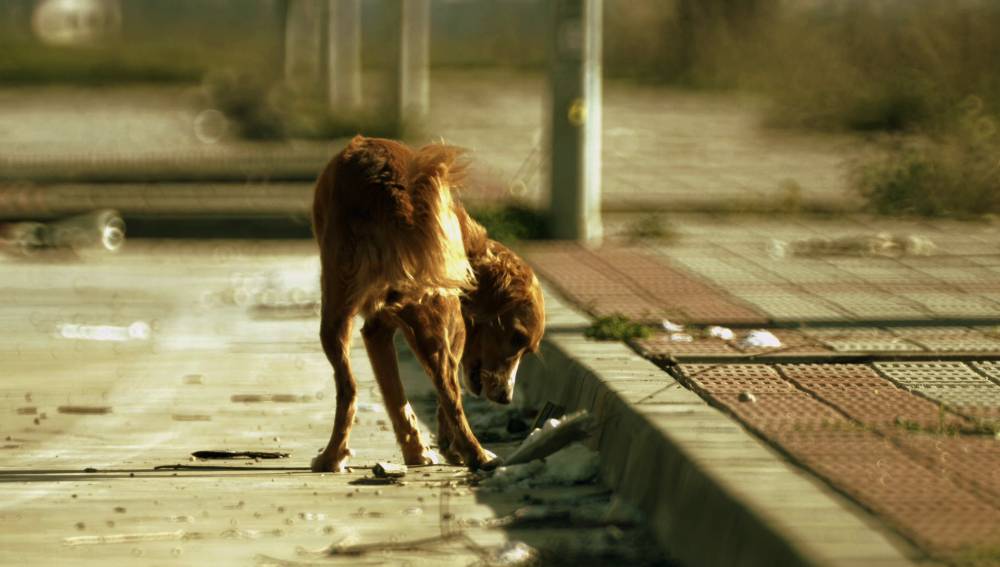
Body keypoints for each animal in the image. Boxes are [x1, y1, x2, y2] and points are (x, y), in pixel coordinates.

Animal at [312, 135, 548, 472]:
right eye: (516, 339)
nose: (505, 398)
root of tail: (396, 189)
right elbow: (424, 397)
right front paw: (435, 449)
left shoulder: (377, 331)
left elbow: (397, 399)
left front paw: (419, 451)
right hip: (433, 315)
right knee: (448, 388)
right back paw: (478, 455)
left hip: (336, 310)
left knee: (349, 388)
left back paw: (331, 457)